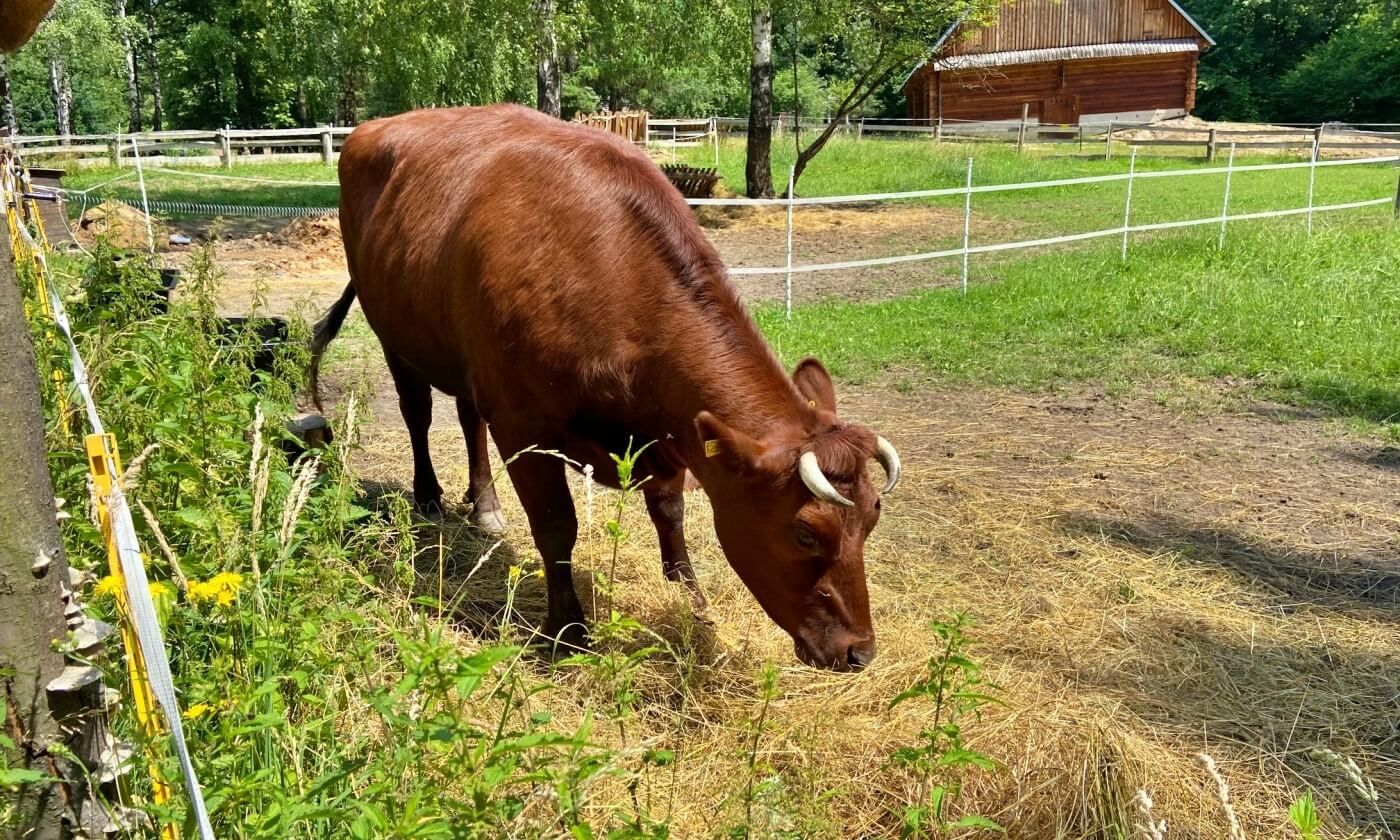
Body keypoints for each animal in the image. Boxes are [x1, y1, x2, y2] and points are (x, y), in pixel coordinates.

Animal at [313, 105, 901, 669]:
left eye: (873, 515)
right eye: (804, 533)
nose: (860, 652)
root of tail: (375, 127)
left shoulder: (672, 430)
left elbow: (669, 511)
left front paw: (691, 597)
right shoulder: (522, 421)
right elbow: (556, 525)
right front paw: (569, 629)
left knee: (466, 416)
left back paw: (484, 506)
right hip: (394, 332)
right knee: (417, 412)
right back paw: (430, 496)